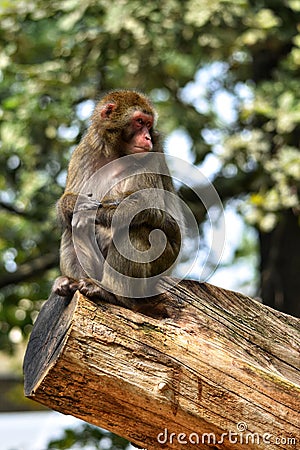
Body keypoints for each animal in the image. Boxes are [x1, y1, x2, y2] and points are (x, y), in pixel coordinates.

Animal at [52, 89, 182, 312]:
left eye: (149, 124)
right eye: (139, 122)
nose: (147, 137)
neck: (116, 153)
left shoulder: (152, 154)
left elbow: (145, 206)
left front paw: (92, 212)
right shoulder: (84, 151)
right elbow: (67, 202)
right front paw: (75, 204)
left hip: (162, 266)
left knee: (136, 229)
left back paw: (113, 294)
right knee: (71, 228)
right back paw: (72, 282)